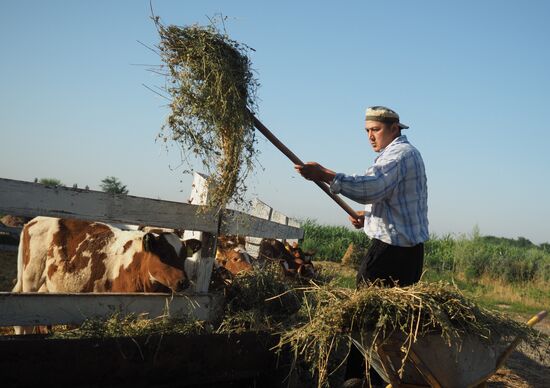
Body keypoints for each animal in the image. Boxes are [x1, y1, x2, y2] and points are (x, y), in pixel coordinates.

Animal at [12, 217, 202, 334]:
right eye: (163, 253)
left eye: (184, 255)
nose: (183, 282)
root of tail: (35, 220)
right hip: (31, 279)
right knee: (22, 322)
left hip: (46, 286)